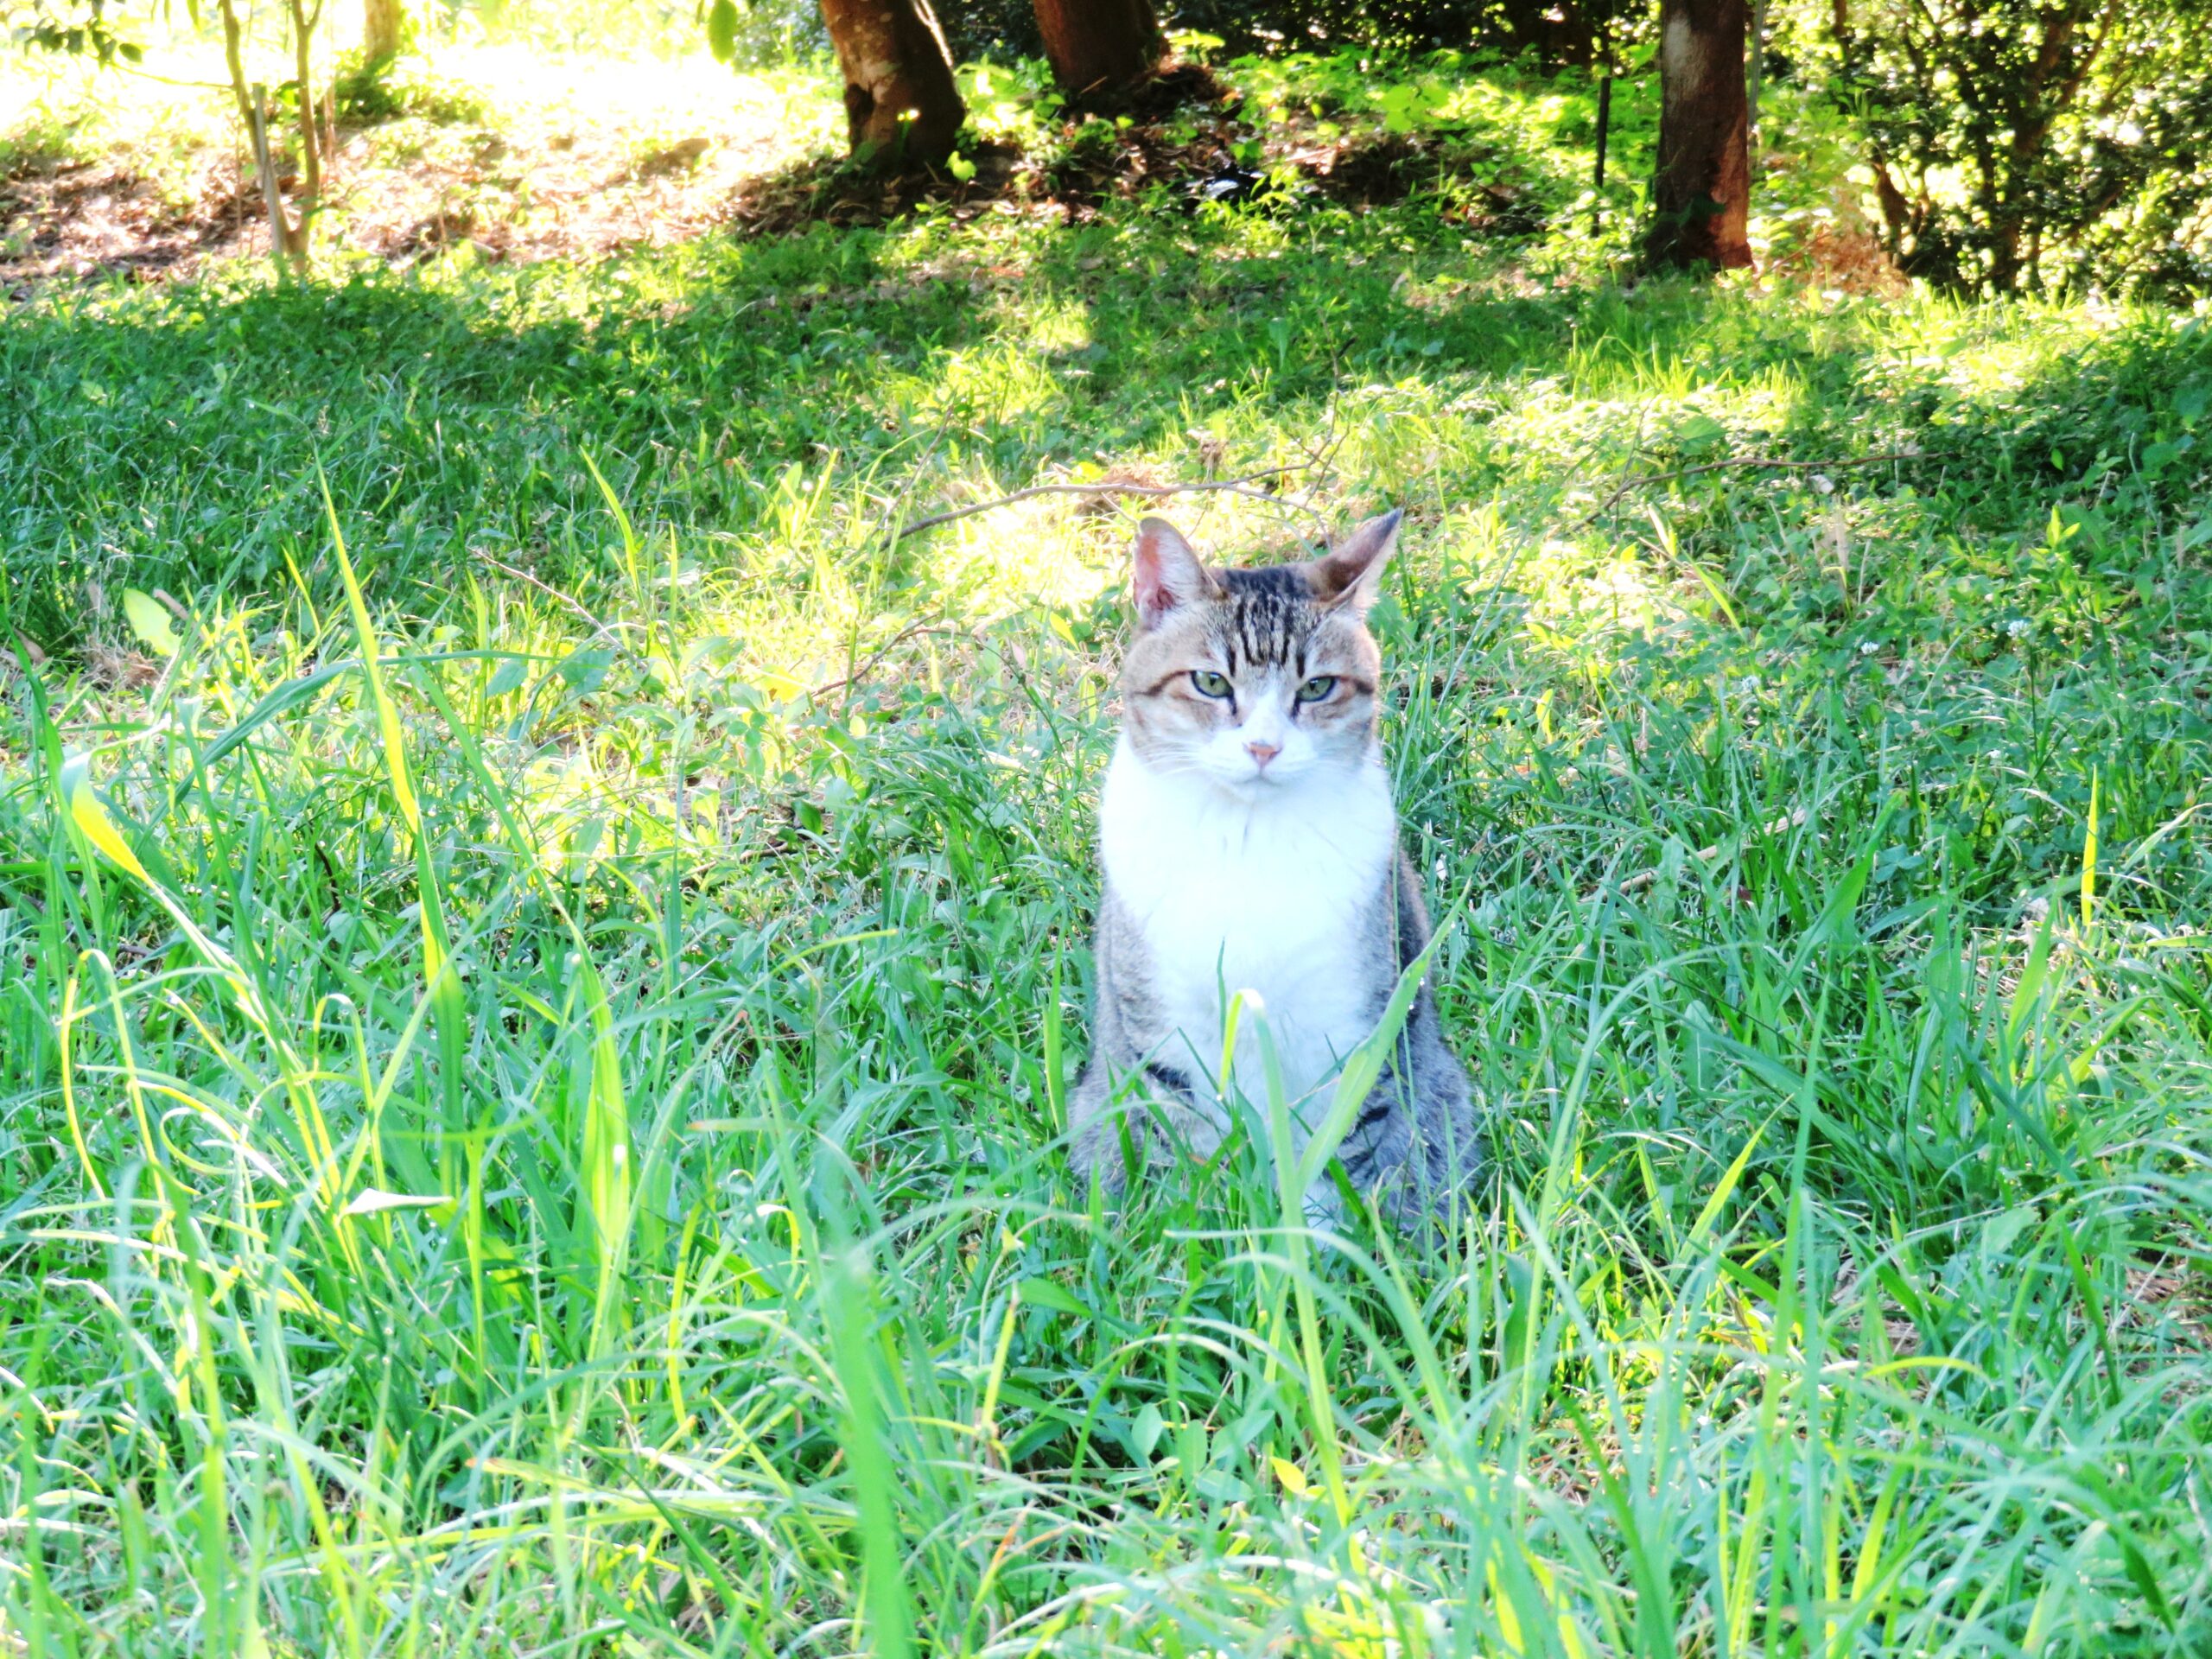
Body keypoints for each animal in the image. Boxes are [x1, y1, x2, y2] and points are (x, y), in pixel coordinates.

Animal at [1065, 512, 1478, 1230]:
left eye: (1316, 688)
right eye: (1210, 683)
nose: (1263, 748)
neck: (1245, 840)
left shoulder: (1351, 1031)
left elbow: (1338, 1161)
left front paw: (1316, 1243)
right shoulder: (1165, 1040)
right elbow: (1190, 1160)